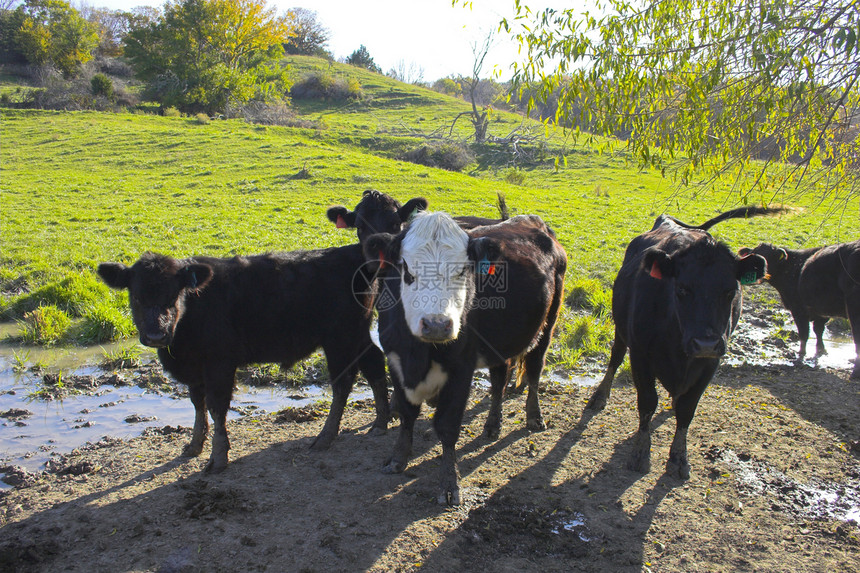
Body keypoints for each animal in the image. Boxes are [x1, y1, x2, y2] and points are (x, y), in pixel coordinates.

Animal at [96, 247, 386, 474]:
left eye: (173, 295)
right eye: (136, 296)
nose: (156, 335)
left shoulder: (219, 363)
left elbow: (216, 407)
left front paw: (218, 457)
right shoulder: (195, 370)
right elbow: (198, 404)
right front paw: (194, 445)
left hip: (340, 339)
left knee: (342, 384)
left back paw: (325, 436)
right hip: (358, 334)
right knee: (374, 362)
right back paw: (381, 421)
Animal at [366, 211, 568, 504]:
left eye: (463, 270)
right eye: (407, 270)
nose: (437, 324)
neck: (418, 354)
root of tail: (533, 220)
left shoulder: (462, 369)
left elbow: (448, 426)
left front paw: (450, 485)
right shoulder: (395, 361)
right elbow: (406, 413)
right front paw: (398, 458)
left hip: (547, 326)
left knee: (533, 370)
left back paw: (534, 416)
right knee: (499, 380)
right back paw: (493, 424)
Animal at [584, 208, 780, 476]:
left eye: (730, 291)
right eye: (682, 289)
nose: (705, 343)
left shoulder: (710, 363)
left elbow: (687, 409)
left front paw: (679, 457)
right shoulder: (640, 356)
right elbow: (647, 402)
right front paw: (640, 453)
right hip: (621, 331)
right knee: (615, 357)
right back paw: (599, 397)